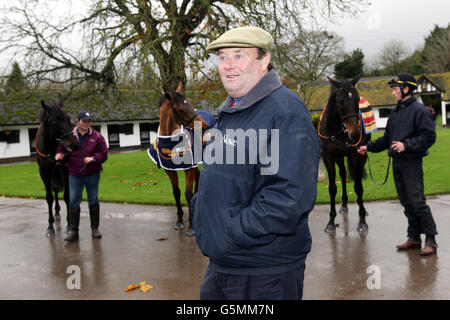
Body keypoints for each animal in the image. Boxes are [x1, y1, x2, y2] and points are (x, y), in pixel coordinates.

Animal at [36, 99, 78, 236]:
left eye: (68, 118)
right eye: (54, 122)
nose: (74, 144)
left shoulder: (65, 169)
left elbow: (67, 195)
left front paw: (70, 225)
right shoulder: (44, 172)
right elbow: (49, 197)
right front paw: (50, 226)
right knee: (54, 189)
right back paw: (57, 213)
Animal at [154, 84, 210, 236]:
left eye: (190, 102)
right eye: (180, 109)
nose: (205, 126)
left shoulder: (188, 168)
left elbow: (188, 194)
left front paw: (191, 225)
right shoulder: (169, 170)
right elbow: (177, 192)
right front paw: (179, 221)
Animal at [316, 76, 370, 234]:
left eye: (357, 98)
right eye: (340, 101)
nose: (356, 134)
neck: (338, 130)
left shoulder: (356, 155)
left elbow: (358, 187)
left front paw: (362, 220)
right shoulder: (328, 157)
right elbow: (332, 188)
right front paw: (331, 222)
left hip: (361, 156)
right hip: (339, 157)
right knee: (343, 174)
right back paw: (344, 204)